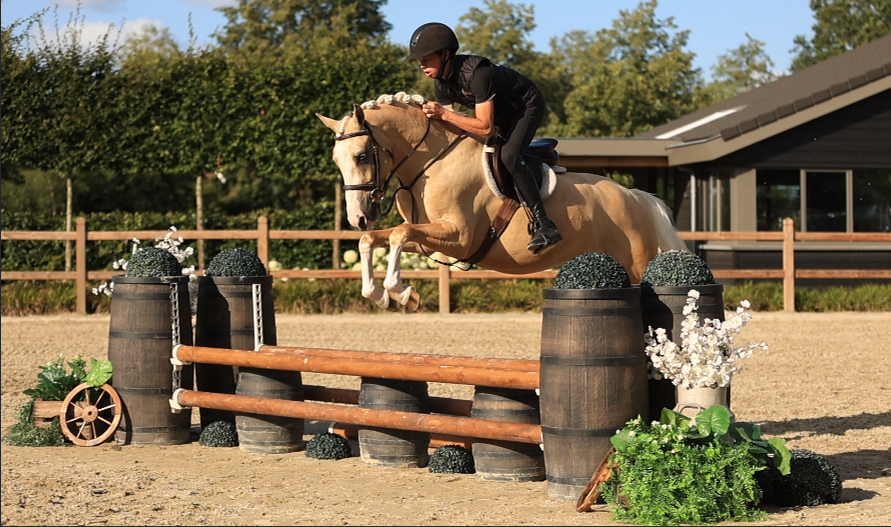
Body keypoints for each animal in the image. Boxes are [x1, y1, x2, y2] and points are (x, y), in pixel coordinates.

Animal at [317, 92, 688, 311]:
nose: (357, 218)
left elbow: (398, 233)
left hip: (637, 265)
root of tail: (637, 198)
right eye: (336, 159)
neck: (433, 161)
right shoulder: (429, 238)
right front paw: (388, 295)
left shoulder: (459, 237)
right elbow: (375, 239)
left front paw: (398, 289)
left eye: (362, 155)